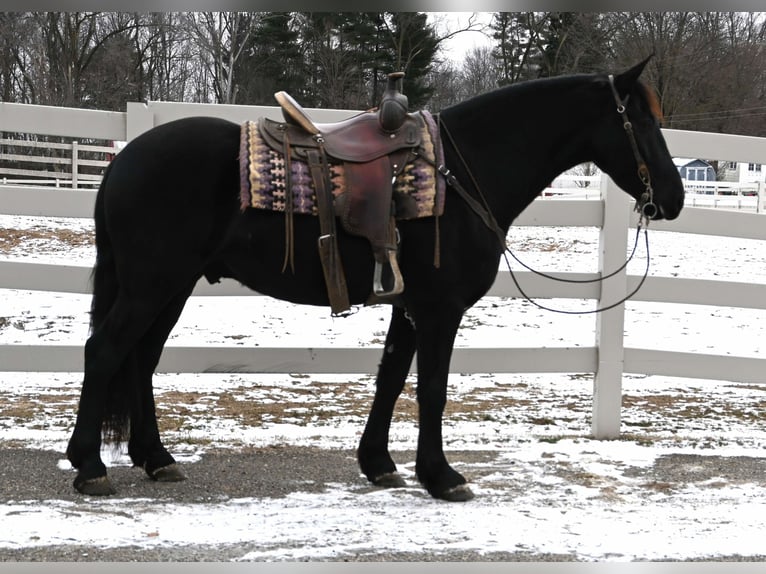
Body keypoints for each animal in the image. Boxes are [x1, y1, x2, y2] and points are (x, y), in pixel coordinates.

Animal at [69, 56, 688, 502]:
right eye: (642, 121)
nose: (674, 197)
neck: (460, 172)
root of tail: (123, 160)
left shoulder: (407, 305)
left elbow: (390, 379)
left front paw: (379, 464)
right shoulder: (441, 309)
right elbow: (432, 388)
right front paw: (441, 477)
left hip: (169, 287)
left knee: (141, 359)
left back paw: (156, 459)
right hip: (151, 285)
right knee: (105, 351)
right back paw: (90, 467)